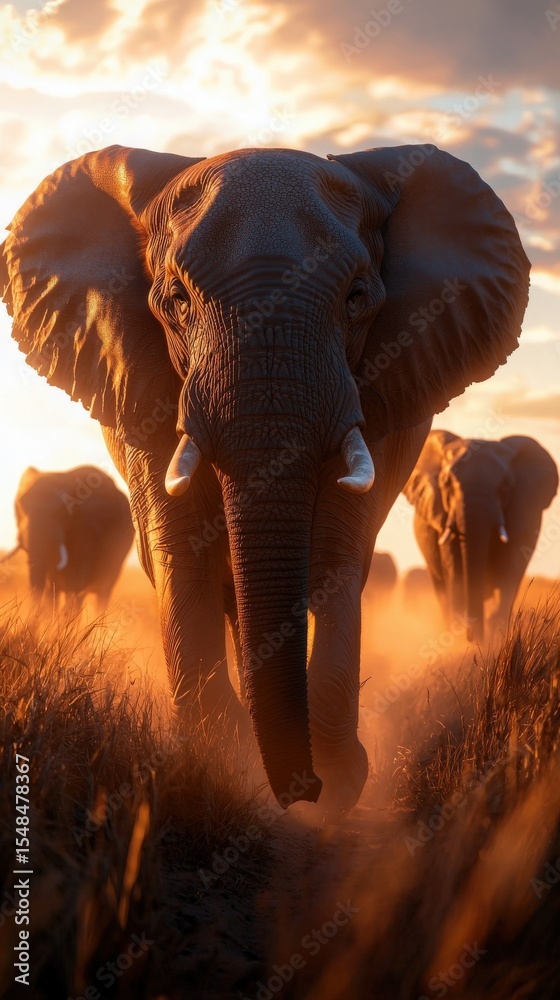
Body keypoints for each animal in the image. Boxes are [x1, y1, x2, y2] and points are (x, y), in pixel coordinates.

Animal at [13, 465, 134, 612]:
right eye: (20, 506)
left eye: (62, 511)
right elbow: (52, 584)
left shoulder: (88, 527)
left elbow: (75, 583)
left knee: (102, 591)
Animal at [402, 430, 558, 642]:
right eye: (445, 483)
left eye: (506, 486)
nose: (471, 637)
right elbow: (455, 574)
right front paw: (461, 642)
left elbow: (507, 574)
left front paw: (492, 641)